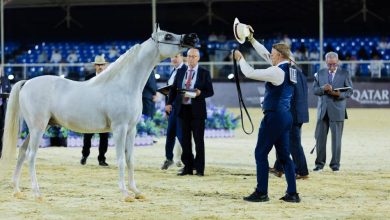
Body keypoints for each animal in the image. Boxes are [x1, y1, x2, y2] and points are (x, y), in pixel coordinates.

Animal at [0, 27, 198, 201]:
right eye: (168, 36)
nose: (193, 37)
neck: (124, 84)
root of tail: (26, 82)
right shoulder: (119, 129)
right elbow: (120, 160)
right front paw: (125, 194)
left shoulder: (131, 130)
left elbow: (130, 160)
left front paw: (136, 192)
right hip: (38, 128)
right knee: (31, 156)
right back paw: (37, 193)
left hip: (39, 127)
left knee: (22, 151)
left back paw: (17, 190)